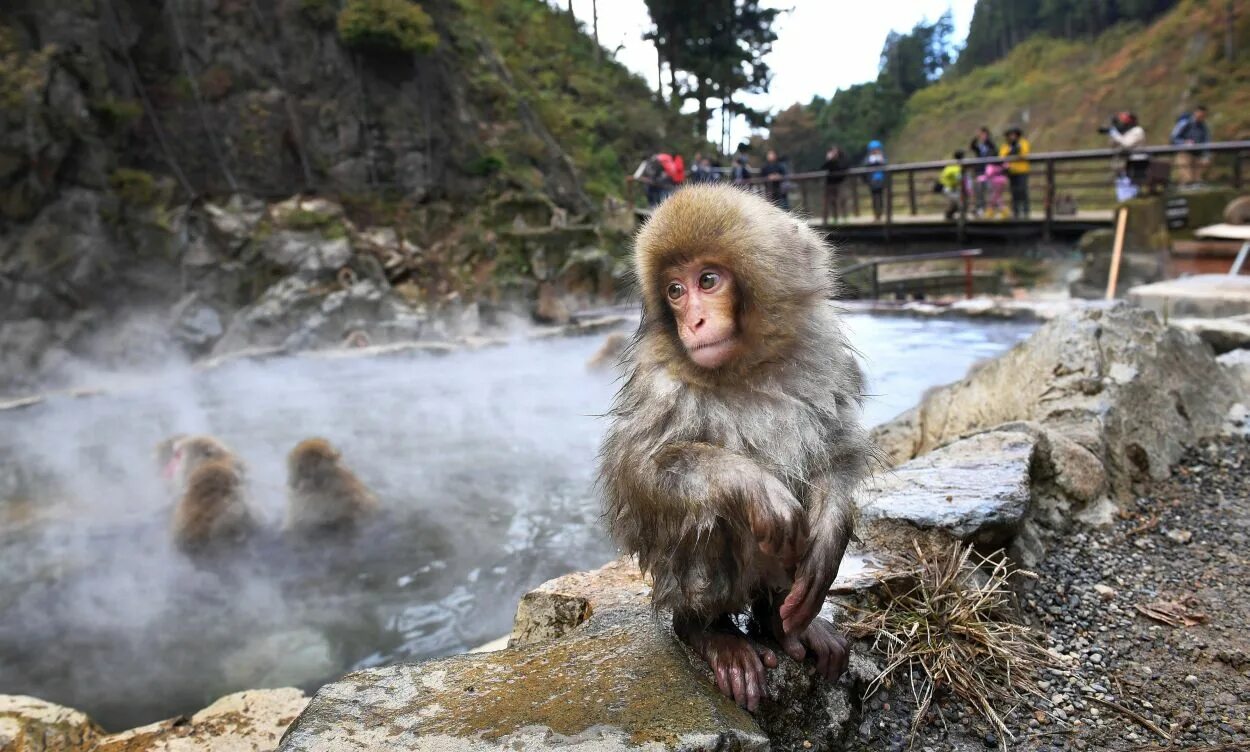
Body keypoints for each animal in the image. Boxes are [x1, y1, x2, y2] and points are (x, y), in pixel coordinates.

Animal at [595, 181, 870, 709]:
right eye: (674, 291)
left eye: (708, 280)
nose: (694, 322)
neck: (748, 366)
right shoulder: (660, 381)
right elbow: (640, 471)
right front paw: (754, 487)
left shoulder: (822, 351)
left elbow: (838, 445)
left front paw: (831, 535)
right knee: (707, 514)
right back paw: (710, 631)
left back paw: (781, 625)